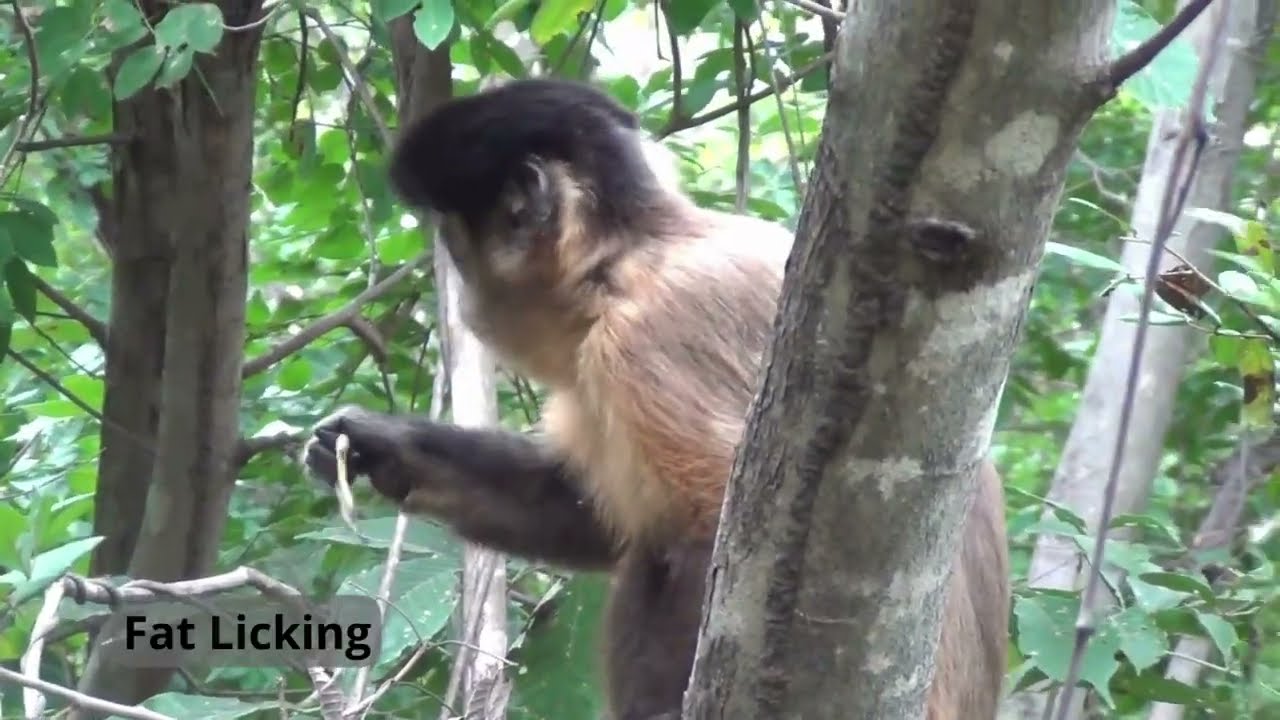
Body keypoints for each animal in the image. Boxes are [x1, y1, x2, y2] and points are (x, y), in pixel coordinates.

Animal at [303, 78, 1010, 720]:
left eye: (453, 240)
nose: (463, 300)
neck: (630, 258)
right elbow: (582, 510)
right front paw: (380, 448)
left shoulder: (649, 335)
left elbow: (723, 529)